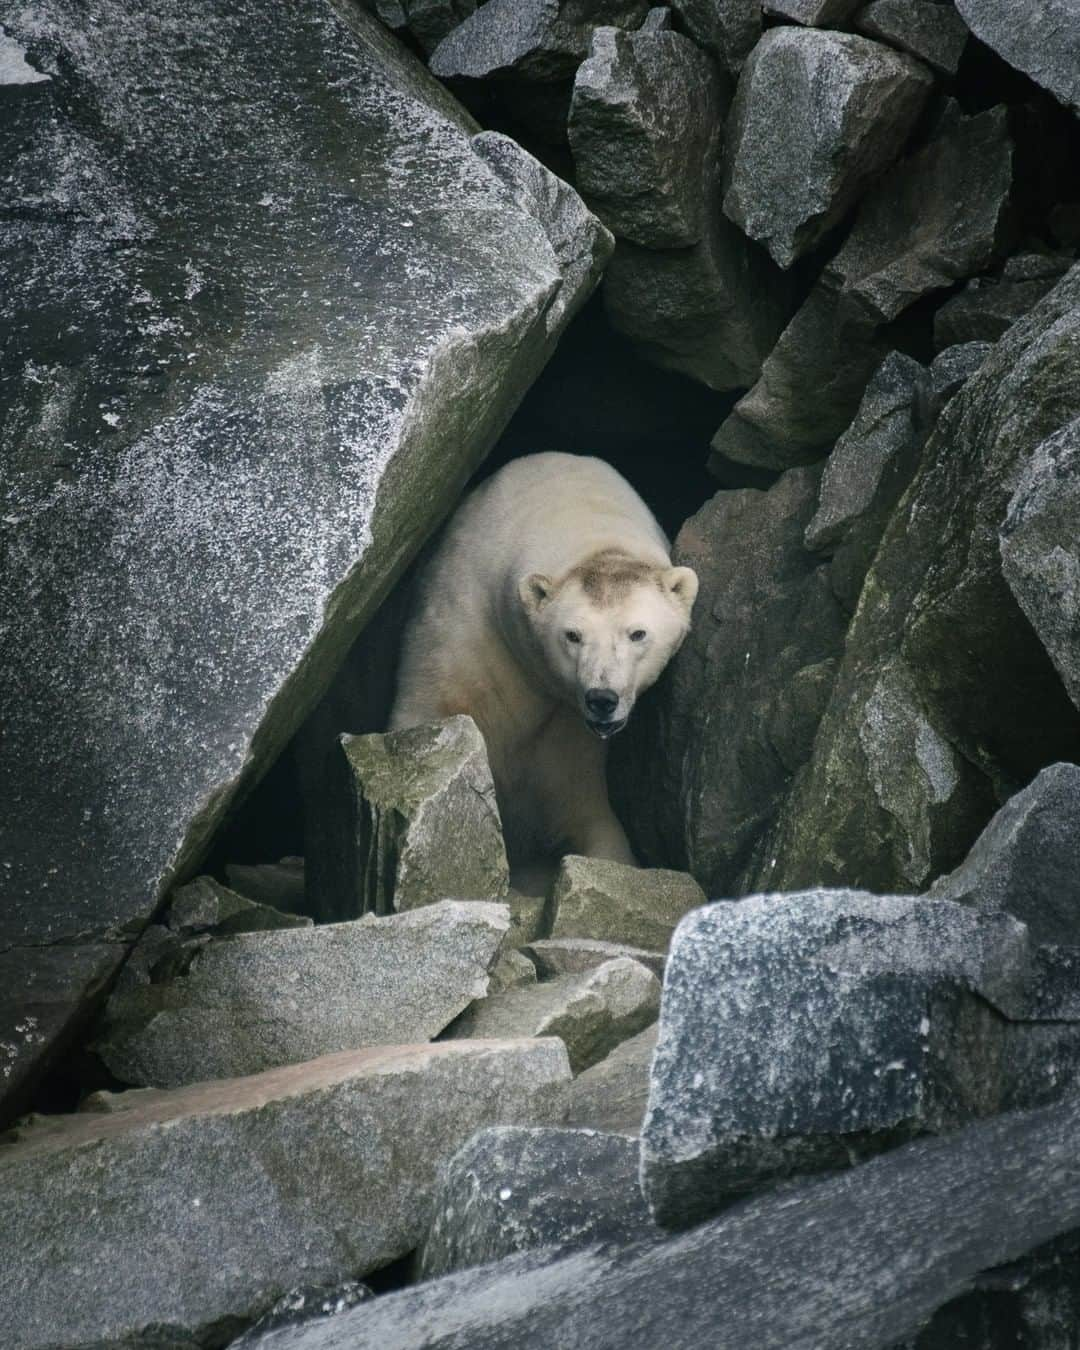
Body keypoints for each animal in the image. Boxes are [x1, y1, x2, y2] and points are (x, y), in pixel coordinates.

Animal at [391, 453, 702, 869]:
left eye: (637, 633)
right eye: (573, 635)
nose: (602, 699)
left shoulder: (565, 730)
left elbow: (582, 808)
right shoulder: (462, 634)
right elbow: (429, 714)